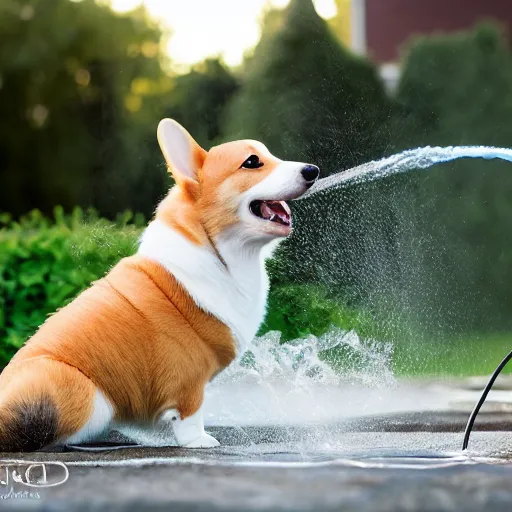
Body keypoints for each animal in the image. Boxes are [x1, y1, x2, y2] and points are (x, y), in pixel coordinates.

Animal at [0, 118, 318, 450]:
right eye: (252, 162)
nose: (313, 170)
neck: (216, 250)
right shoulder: (189, 376)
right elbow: (191, 414)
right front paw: (199, 441)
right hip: (76, 386)